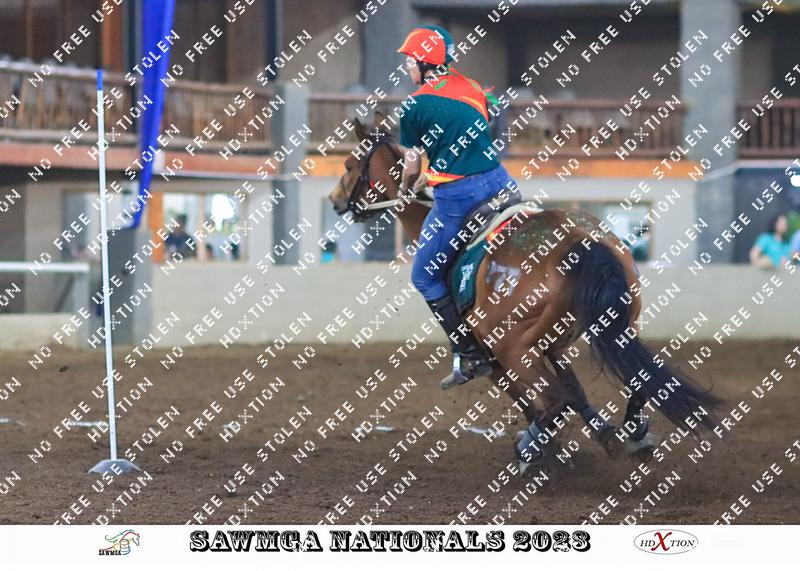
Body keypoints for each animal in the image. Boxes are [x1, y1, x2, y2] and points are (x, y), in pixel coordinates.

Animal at [328, 113, 722, 470]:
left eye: (349, 164)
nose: (334, 200)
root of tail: (576, 241)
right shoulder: (553, 347)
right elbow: (576, 393)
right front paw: (607, 438)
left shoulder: (497, 358)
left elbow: (539, 400)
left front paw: (542, 443)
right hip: (619, 325)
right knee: (634, 380)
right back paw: (634, 434)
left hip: (512, 348)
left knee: (554, 401)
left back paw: (531, 447)